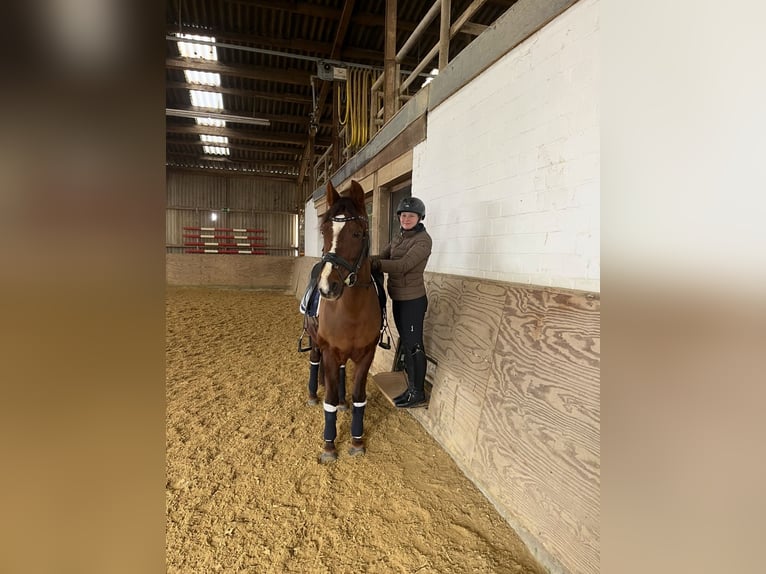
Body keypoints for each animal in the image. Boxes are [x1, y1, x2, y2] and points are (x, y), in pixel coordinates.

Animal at [304, 180, 380, 464]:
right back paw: (313, 394)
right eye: (324, 231)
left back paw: (343, 402)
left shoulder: (367, 354)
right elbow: (329, 398)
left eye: (357, 233)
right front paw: (329, 446)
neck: (352, 310)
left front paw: (357, 441)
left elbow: (359, 397)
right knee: (315, 362)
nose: (328, 287)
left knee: (341, 371)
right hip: (315, 342)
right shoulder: (329, 351)